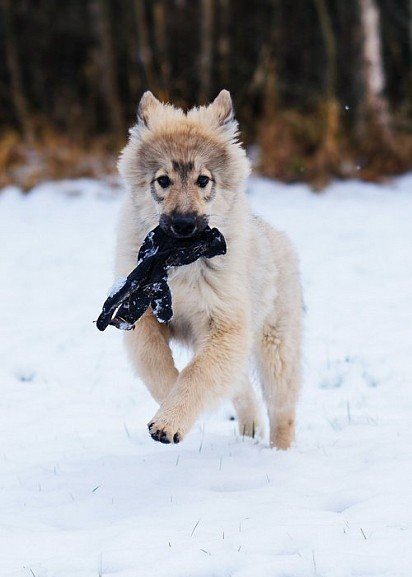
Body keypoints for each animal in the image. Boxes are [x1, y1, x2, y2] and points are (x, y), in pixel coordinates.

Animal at [114, 91, 300, 450]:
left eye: (203, 180)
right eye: (163, 181)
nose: (185, 225)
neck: (179, 260)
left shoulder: (226, 327)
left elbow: (196, 373)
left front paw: (169, 420)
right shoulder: (142, 315)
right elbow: (155, 362)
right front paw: (168, 406)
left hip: (275, 348)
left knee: (282, 408)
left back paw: (279, 453)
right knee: (241, 390)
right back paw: (249, 431)